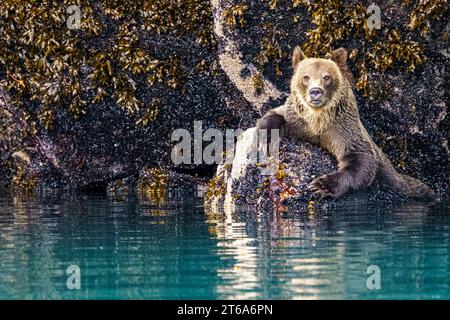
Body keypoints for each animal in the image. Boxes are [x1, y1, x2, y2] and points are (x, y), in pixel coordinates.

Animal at [258, 45, 438, 200]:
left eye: (326, 77)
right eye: (306, 77)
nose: (315, 91)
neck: (319, 119)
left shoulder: (343, 127)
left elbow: (360, 159)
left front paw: (321, 185)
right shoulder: (300, 118)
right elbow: (276, 115)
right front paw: (265, 139)